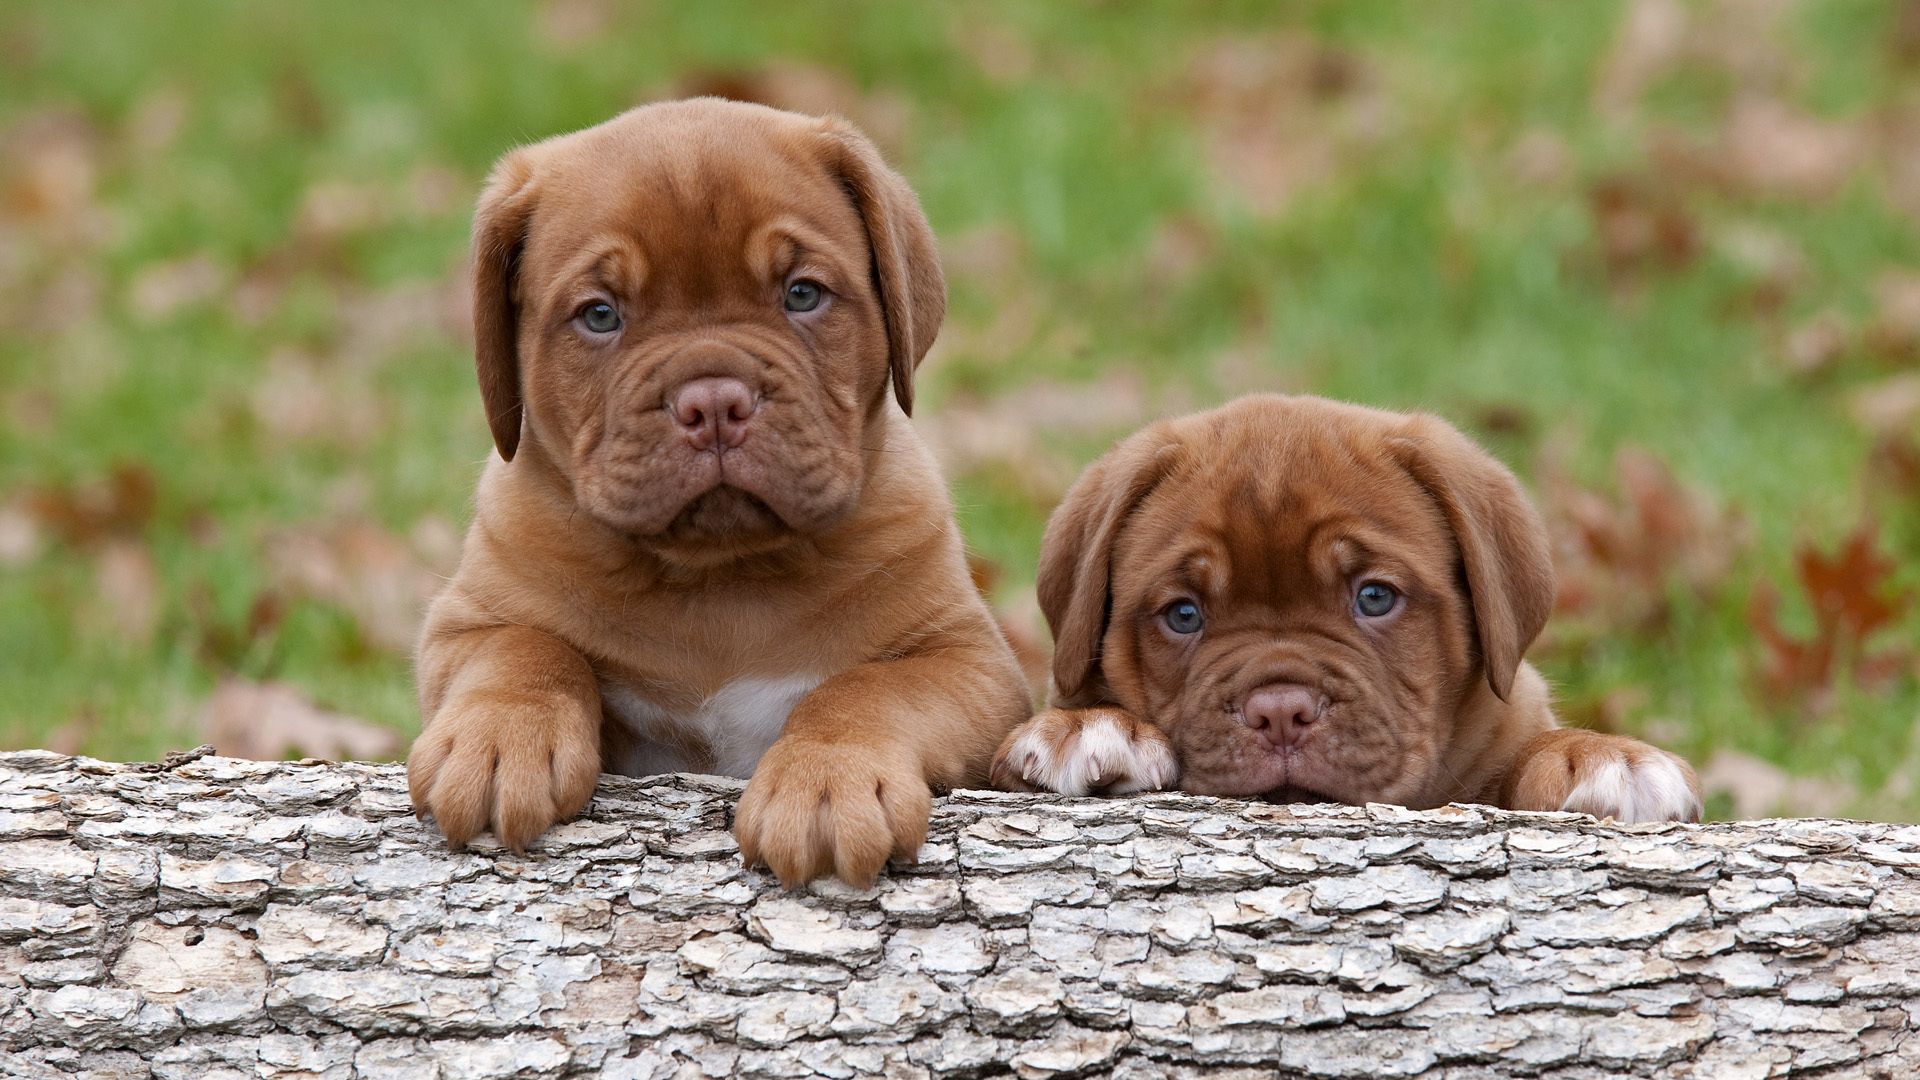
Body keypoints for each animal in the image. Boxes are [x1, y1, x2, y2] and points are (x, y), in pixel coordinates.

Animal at [407, 96, 1036, 880]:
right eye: (600, 314)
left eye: (802, 294)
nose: (712, 402)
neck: (719, 576)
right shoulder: (466, 624)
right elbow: (524, 649)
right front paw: (497, 742)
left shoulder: (968, 662)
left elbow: (867, 689)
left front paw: (828, 780)